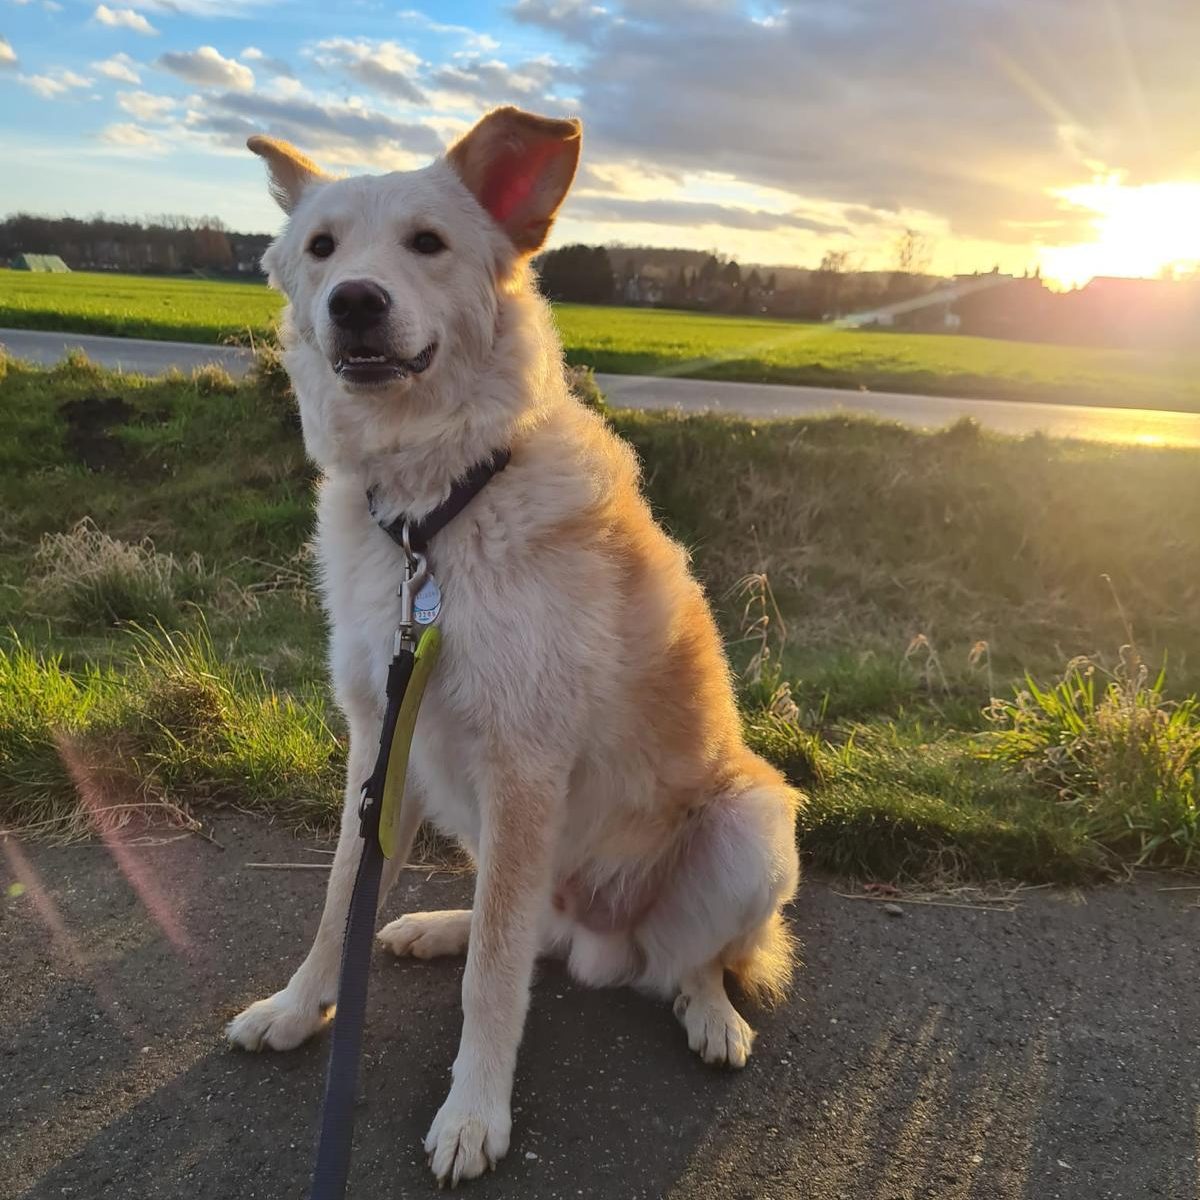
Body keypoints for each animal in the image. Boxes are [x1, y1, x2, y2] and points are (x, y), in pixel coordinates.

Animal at [228, 108, 801, 1185]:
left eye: (427, 244)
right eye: (322, 249)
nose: (354, 302)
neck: (433, 515)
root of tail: (603, 936)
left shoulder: (524, 764)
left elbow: (493, 979)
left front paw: (472, 1111)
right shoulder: (380, 745)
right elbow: (342, 898)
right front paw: (298, 1007)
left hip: (752, 826)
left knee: (680, 958)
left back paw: (711, 1015)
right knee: (532, 929)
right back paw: (434, 928)